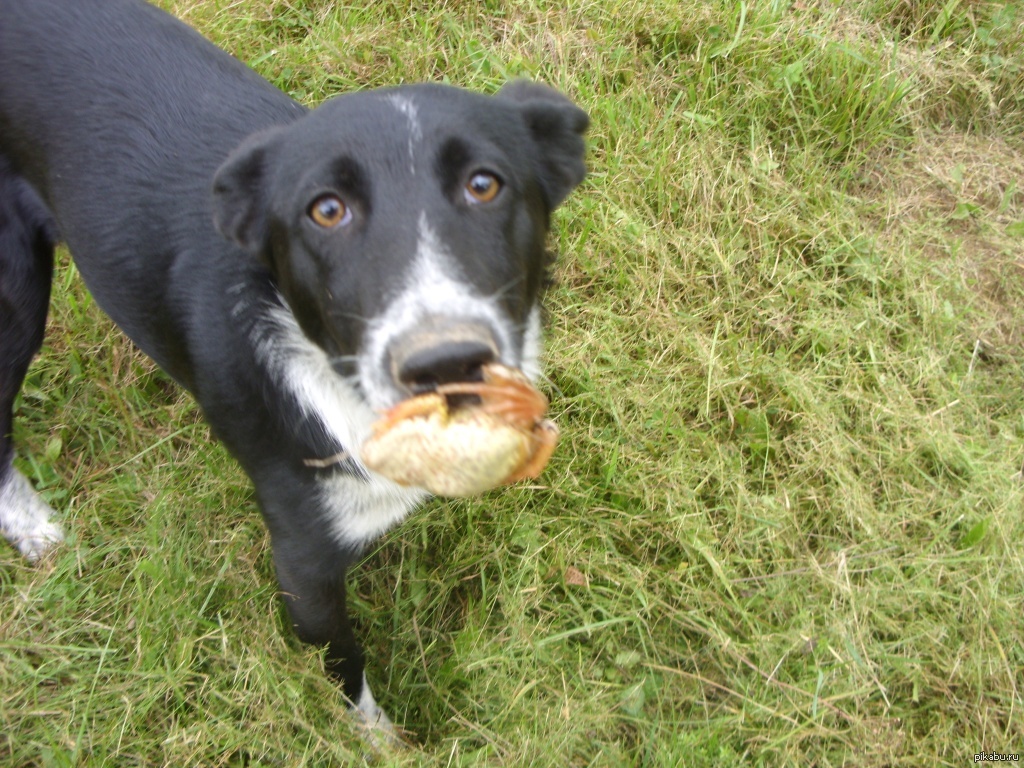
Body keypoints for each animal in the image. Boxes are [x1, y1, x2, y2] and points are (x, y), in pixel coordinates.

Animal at [0, 0, 585, 737]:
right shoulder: (303, 567)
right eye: (326, 209)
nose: (445, 362)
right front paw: (381, 740)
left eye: (484, 184)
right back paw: (33, 528)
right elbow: (347, 674)